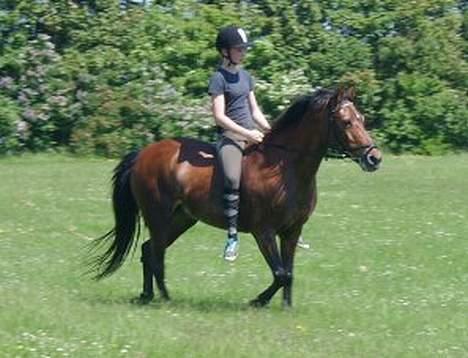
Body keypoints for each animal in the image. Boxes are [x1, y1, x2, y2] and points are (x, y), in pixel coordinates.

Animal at [90, 86, 380, 308]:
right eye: (346, 122)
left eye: (362, 118)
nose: (374, 158)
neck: (284, 167)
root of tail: (143, 153)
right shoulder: (263, 231)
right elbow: (281, 274)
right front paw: (258, 301)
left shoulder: (292, 231)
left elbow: (289, 273)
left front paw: (286, 307)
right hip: (158, 216)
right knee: (156, 254)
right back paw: (164, 299)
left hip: (182, 219)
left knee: (148, 250)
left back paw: (147, 296)